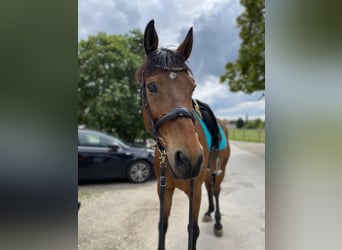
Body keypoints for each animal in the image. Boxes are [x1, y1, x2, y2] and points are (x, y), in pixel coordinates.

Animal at [136, 19, 230, 250]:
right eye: (151, 86)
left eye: (192, 87)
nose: (189, 158)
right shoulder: (164, 189)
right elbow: (162, 226)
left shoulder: (193, 192)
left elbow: (192, 231)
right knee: (210, 189)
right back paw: (209, 212)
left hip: (220, 171)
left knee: (216, 190)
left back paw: (218, 222)